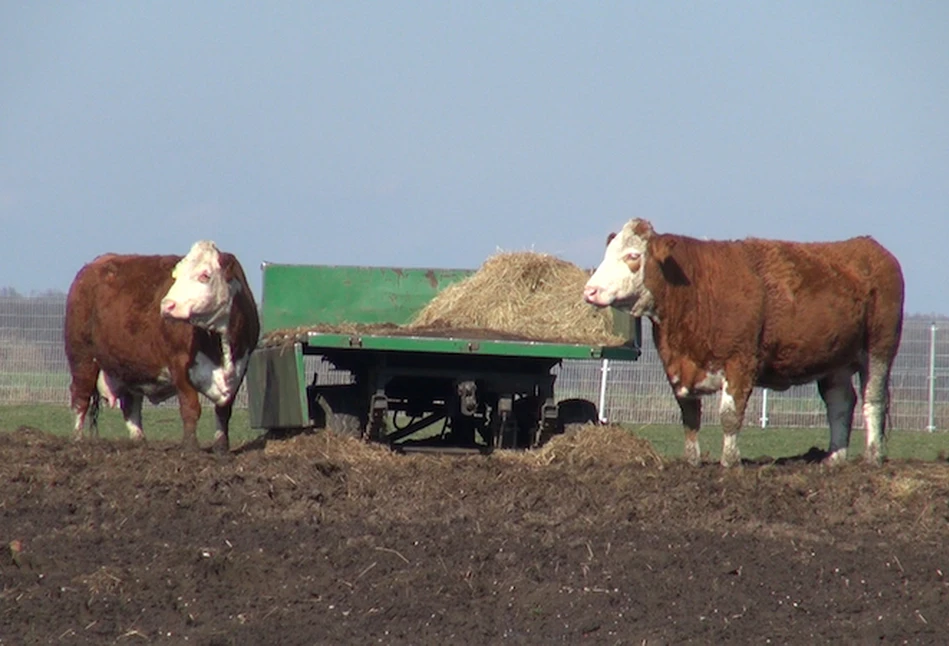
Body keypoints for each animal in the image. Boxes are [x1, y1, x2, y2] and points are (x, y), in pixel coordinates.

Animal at [64, 240, 260, 454]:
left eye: (205, 275)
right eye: (176, 276)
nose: (167, 305)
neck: (221, 347)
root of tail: (93, 265)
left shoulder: (240, 368)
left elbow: (224, 411)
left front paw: (221, 447)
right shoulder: (179, 364)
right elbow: (191, 407)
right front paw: (190, 447)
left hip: (130, 367)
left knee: (130, 405)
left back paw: (139, 441)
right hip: (82, 357)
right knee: (80, 398)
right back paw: (77, 439)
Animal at [584, 220, 904, 468]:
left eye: (633, 255)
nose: (590, 290)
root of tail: (870, 246)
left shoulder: (740, 361)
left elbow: (729, 416)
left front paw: (730, 462)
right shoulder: (678, 370)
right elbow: (690, 416)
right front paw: (692, 462)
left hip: (880, 348)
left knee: (873, 400)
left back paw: (873, 457)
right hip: (834, 361)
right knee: (841, 403)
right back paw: (834, 459)